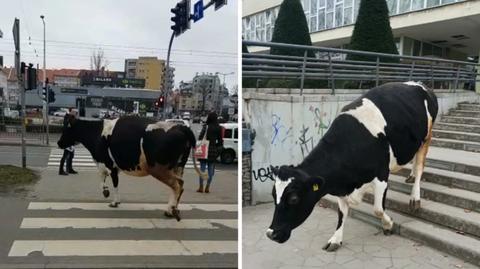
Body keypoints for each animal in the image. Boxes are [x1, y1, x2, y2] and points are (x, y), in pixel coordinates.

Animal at [56, 115, 206, 220]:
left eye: (66, 129)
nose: (58, 143)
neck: (97, 134)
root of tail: (181, 127)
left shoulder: (109, 164)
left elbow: (113, 183)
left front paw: (114, 201)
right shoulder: (108, 164)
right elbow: (102, 178)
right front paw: (105, 191)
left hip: (159, 169)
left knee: (178, 184)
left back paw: (171, 210)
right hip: (178, 167)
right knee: (177, 187)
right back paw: (172, 209)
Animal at [266, 81, 438, 251]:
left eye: (294, 198)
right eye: (273, 195)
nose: (271, 234)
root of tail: (420, 84)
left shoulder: (382, 177)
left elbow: (378, 209)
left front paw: (388, 225)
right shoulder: (341, 186)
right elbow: (341, 214)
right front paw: (335, 239)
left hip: (427, 136)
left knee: (420, 165)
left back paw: (415, 197)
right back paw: (411, 177)